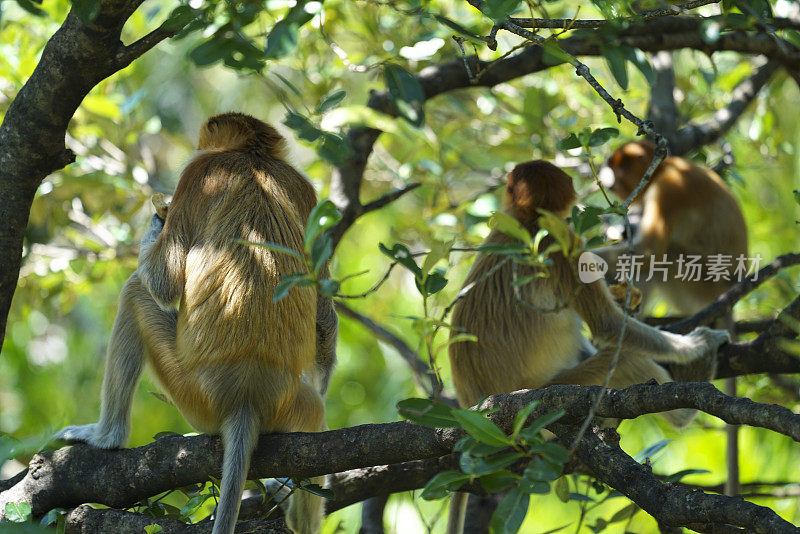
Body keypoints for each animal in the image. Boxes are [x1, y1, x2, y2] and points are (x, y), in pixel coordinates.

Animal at [56, 113, 336, 534]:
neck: (252, 157)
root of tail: (246, 396)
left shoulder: (197, 175)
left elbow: (163, 281)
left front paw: (158, 216)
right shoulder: (306, 190)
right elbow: (323, 312)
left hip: (190, 389)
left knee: (135, 293)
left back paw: (106, 437)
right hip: (292, 403)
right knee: (314, 421)